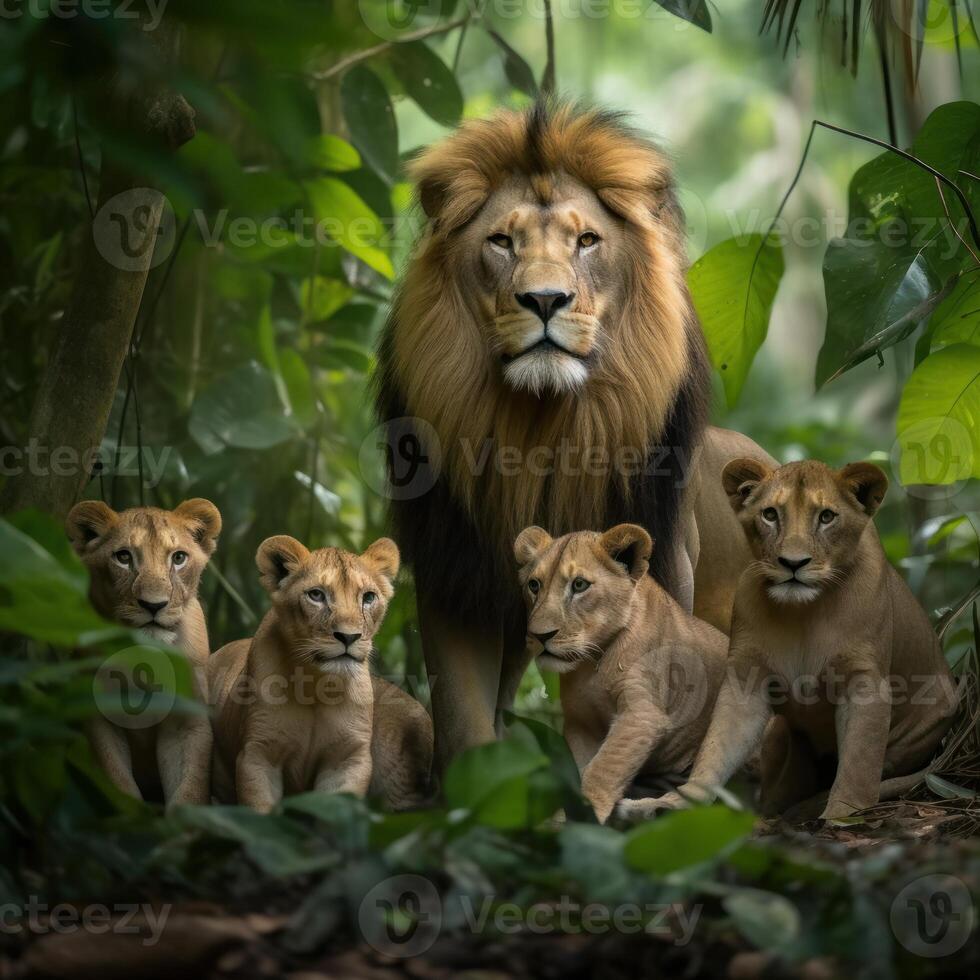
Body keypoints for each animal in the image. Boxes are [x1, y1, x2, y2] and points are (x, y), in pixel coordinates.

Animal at [376, 103, 772, 768]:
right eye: (502, 241)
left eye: (586, 241)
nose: (544, 299)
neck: (543, 432)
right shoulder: (455, 580)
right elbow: (464, 726)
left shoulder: (665, 567)